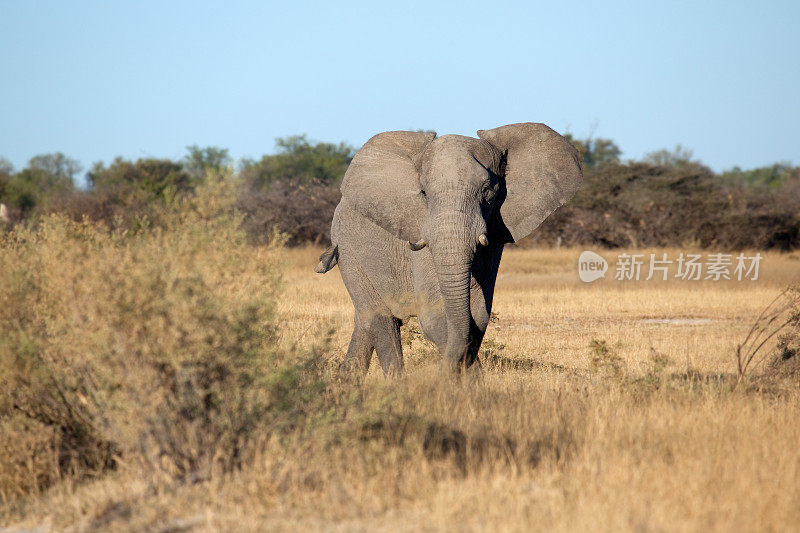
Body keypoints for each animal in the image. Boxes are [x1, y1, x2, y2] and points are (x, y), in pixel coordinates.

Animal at [316, 122, 584, 374]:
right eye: (423, 192)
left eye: (487, 191)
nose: (440, 376)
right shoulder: (420, 235)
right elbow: (436, 316)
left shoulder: (494, 236)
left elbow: (478, 315)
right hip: (349, 251)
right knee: (380, 319)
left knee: (365, 322)